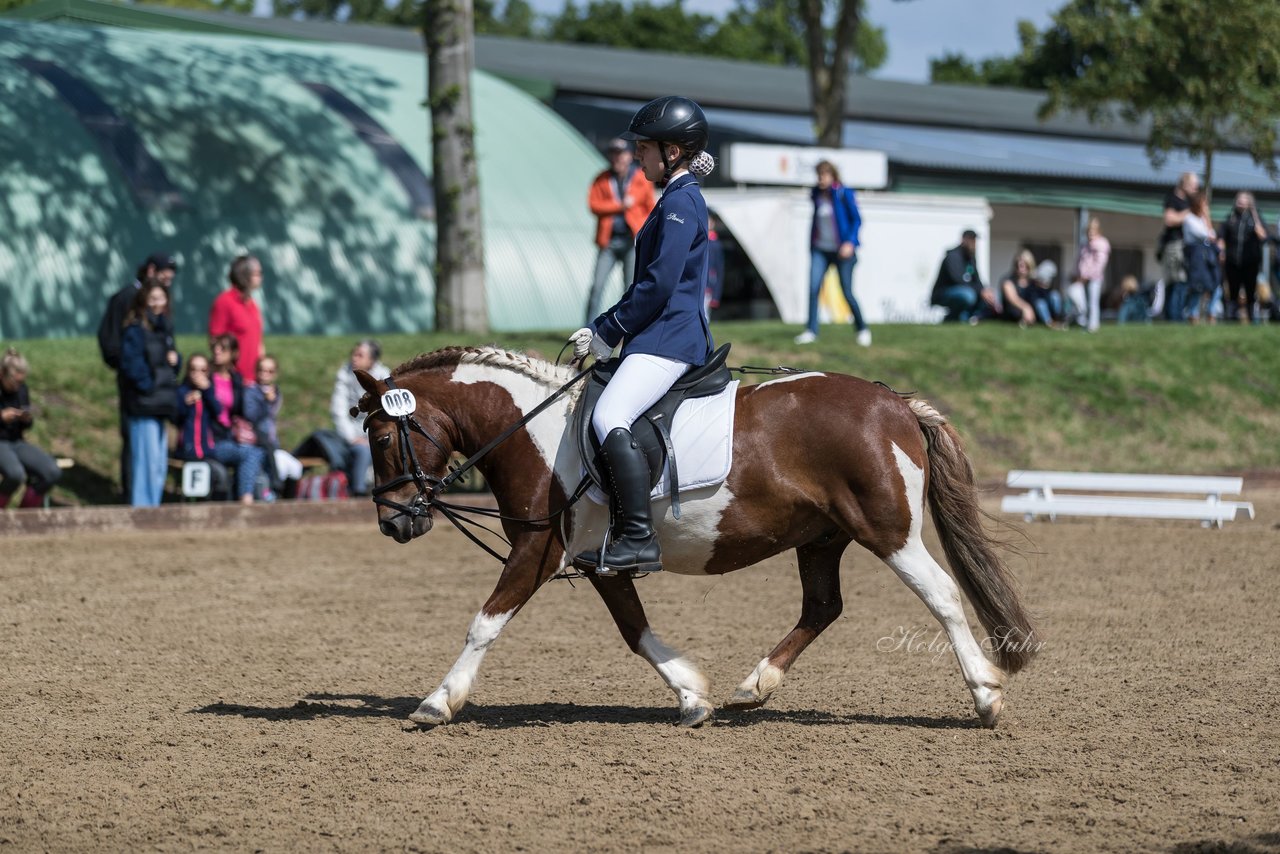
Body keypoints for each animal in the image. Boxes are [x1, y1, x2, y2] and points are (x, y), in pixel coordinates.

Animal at [353, 345, 1039, 727]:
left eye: (382, 437)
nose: (394, 522)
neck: (536, 433)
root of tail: (896, 403)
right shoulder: (600, 561)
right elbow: (634, 630)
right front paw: (691, 694)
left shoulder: (537, 550)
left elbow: (484, 623)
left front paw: (437, 702)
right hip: (822, 537)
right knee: (823, 607)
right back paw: (754, 687)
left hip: (889, 533)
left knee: (942, 595)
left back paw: (985, 697)